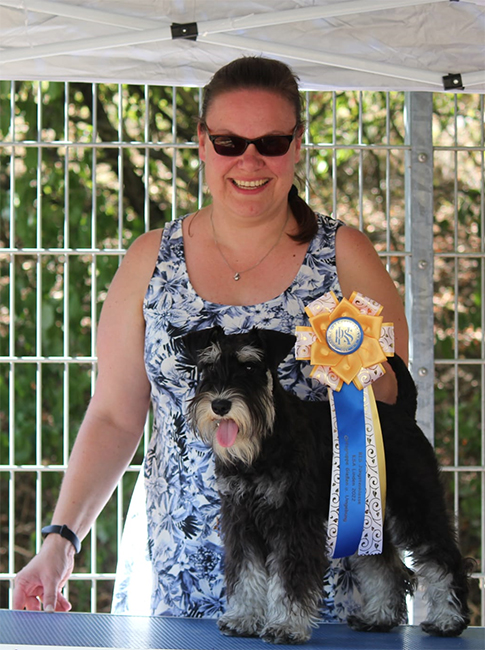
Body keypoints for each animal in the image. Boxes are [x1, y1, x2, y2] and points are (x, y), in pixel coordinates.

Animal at [182, 326, 471, 644]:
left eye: (250, 367)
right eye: (209, 366)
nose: (220, 405)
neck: (261, 446)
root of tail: (404, 412)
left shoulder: (294, 523)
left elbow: (289, 579)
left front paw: (286, 625)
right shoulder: (241, 521)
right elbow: (247, 573)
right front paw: (243, 618)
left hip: (416, 505)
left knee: (442, 559)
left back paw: (448, 621)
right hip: (367, 520)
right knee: (384, 565)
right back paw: (378, 617)